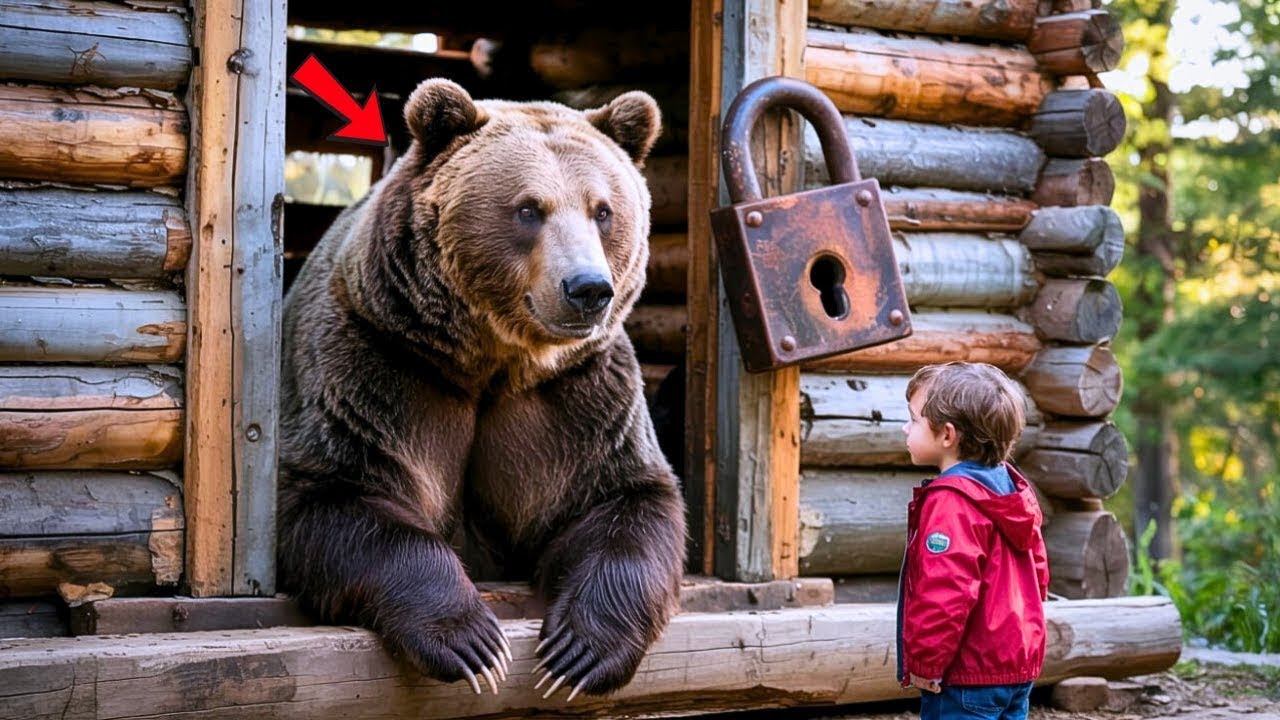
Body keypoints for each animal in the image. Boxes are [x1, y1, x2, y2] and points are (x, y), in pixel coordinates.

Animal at [276, 78, 687, 701]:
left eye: (603, 210)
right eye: (528, 208)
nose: (588, 288)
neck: (494, 361)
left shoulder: (577, 395)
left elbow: (623, 502)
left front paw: (578, 653)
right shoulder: (377, 365)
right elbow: (339, 495)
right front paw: (472, 642)